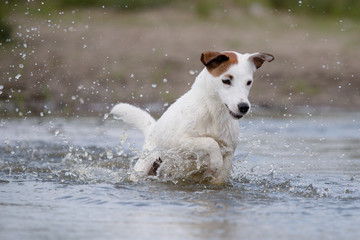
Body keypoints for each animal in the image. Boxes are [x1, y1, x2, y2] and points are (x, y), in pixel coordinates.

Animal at [111, 50, 274, 184]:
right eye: (226, 80)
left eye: (249, 82)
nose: (244, 107)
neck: (213, 114)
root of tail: (153, 129)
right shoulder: (181, 142)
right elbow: (210, 142)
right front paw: (216, 163)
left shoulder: (229, 150)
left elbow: (221, 173)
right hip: (146, 164)